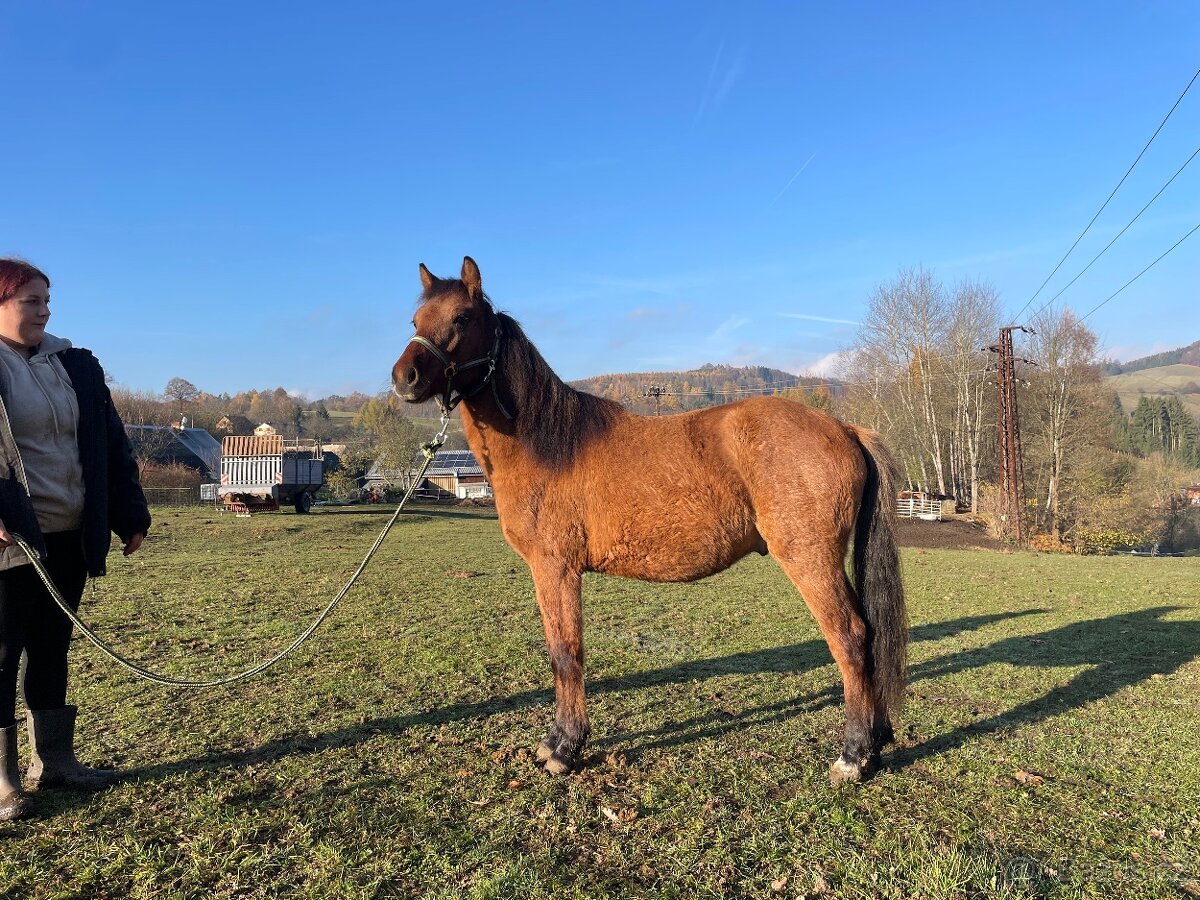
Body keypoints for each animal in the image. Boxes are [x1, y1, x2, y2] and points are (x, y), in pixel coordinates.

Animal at [392, 257, 908, 783]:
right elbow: (561, 656)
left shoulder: (556, 569)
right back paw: (875, 743)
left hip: (810, 559)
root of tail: (845, 428)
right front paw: (557, 742)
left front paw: (564, 748)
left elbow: (566, 654)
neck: (548, 444)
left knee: (852, 639)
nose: (404, 377)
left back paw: (853, 755)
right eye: (415, 321)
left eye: (461, 318)